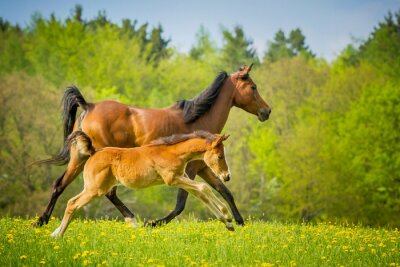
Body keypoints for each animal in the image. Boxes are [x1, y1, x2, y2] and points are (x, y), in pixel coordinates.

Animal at [52, 131, 234, 238]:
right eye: (220, 156)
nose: (226, 176)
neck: (172, 152)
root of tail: (93, 152)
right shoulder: (172, 179)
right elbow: (204, 188)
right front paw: (227, 215)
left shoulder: (182, 178)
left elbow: (201, 194)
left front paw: (227, 223)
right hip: (95, 189)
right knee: (73, 203)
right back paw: (58, 235)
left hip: (94, 188)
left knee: (72, 202)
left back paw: (55, 233)